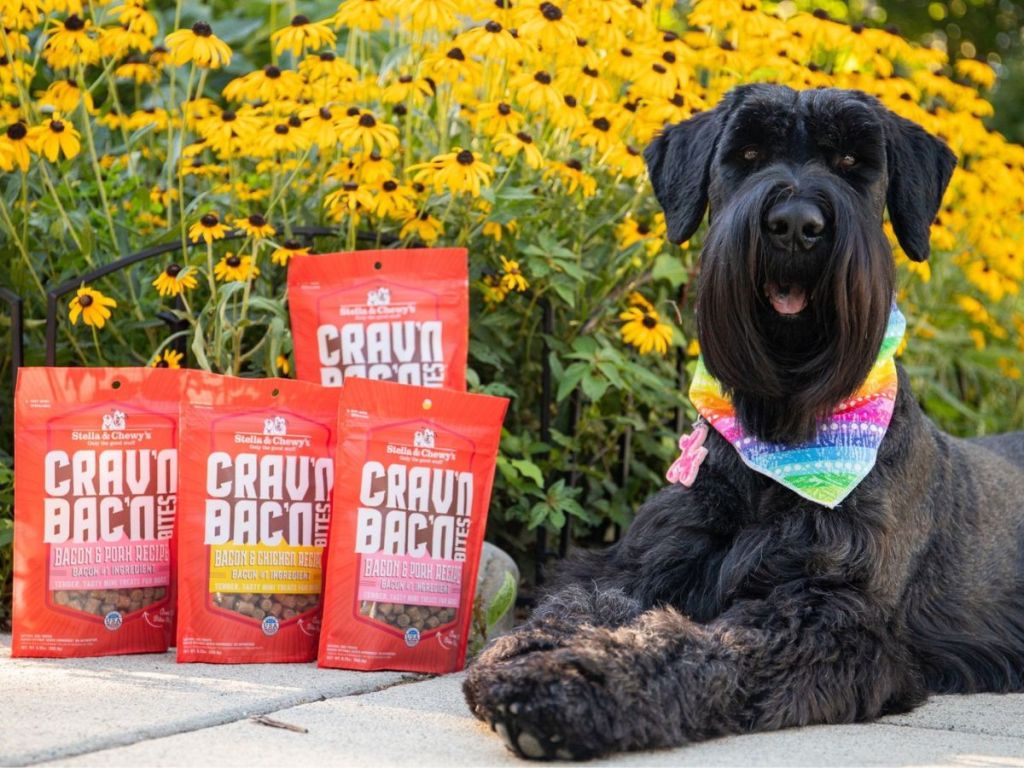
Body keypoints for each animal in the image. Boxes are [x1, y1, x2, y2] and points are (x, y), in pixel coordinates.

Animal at [464, 85, 1024, 765]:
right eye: (749, 153)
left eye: (850, 161)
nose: (796, 225)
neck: (780, 423)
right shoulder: (642, 561)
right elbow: (584, 600)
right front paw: (531, 647)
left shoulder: (827, 611)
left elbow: (695, 645)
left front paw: (569, 684)